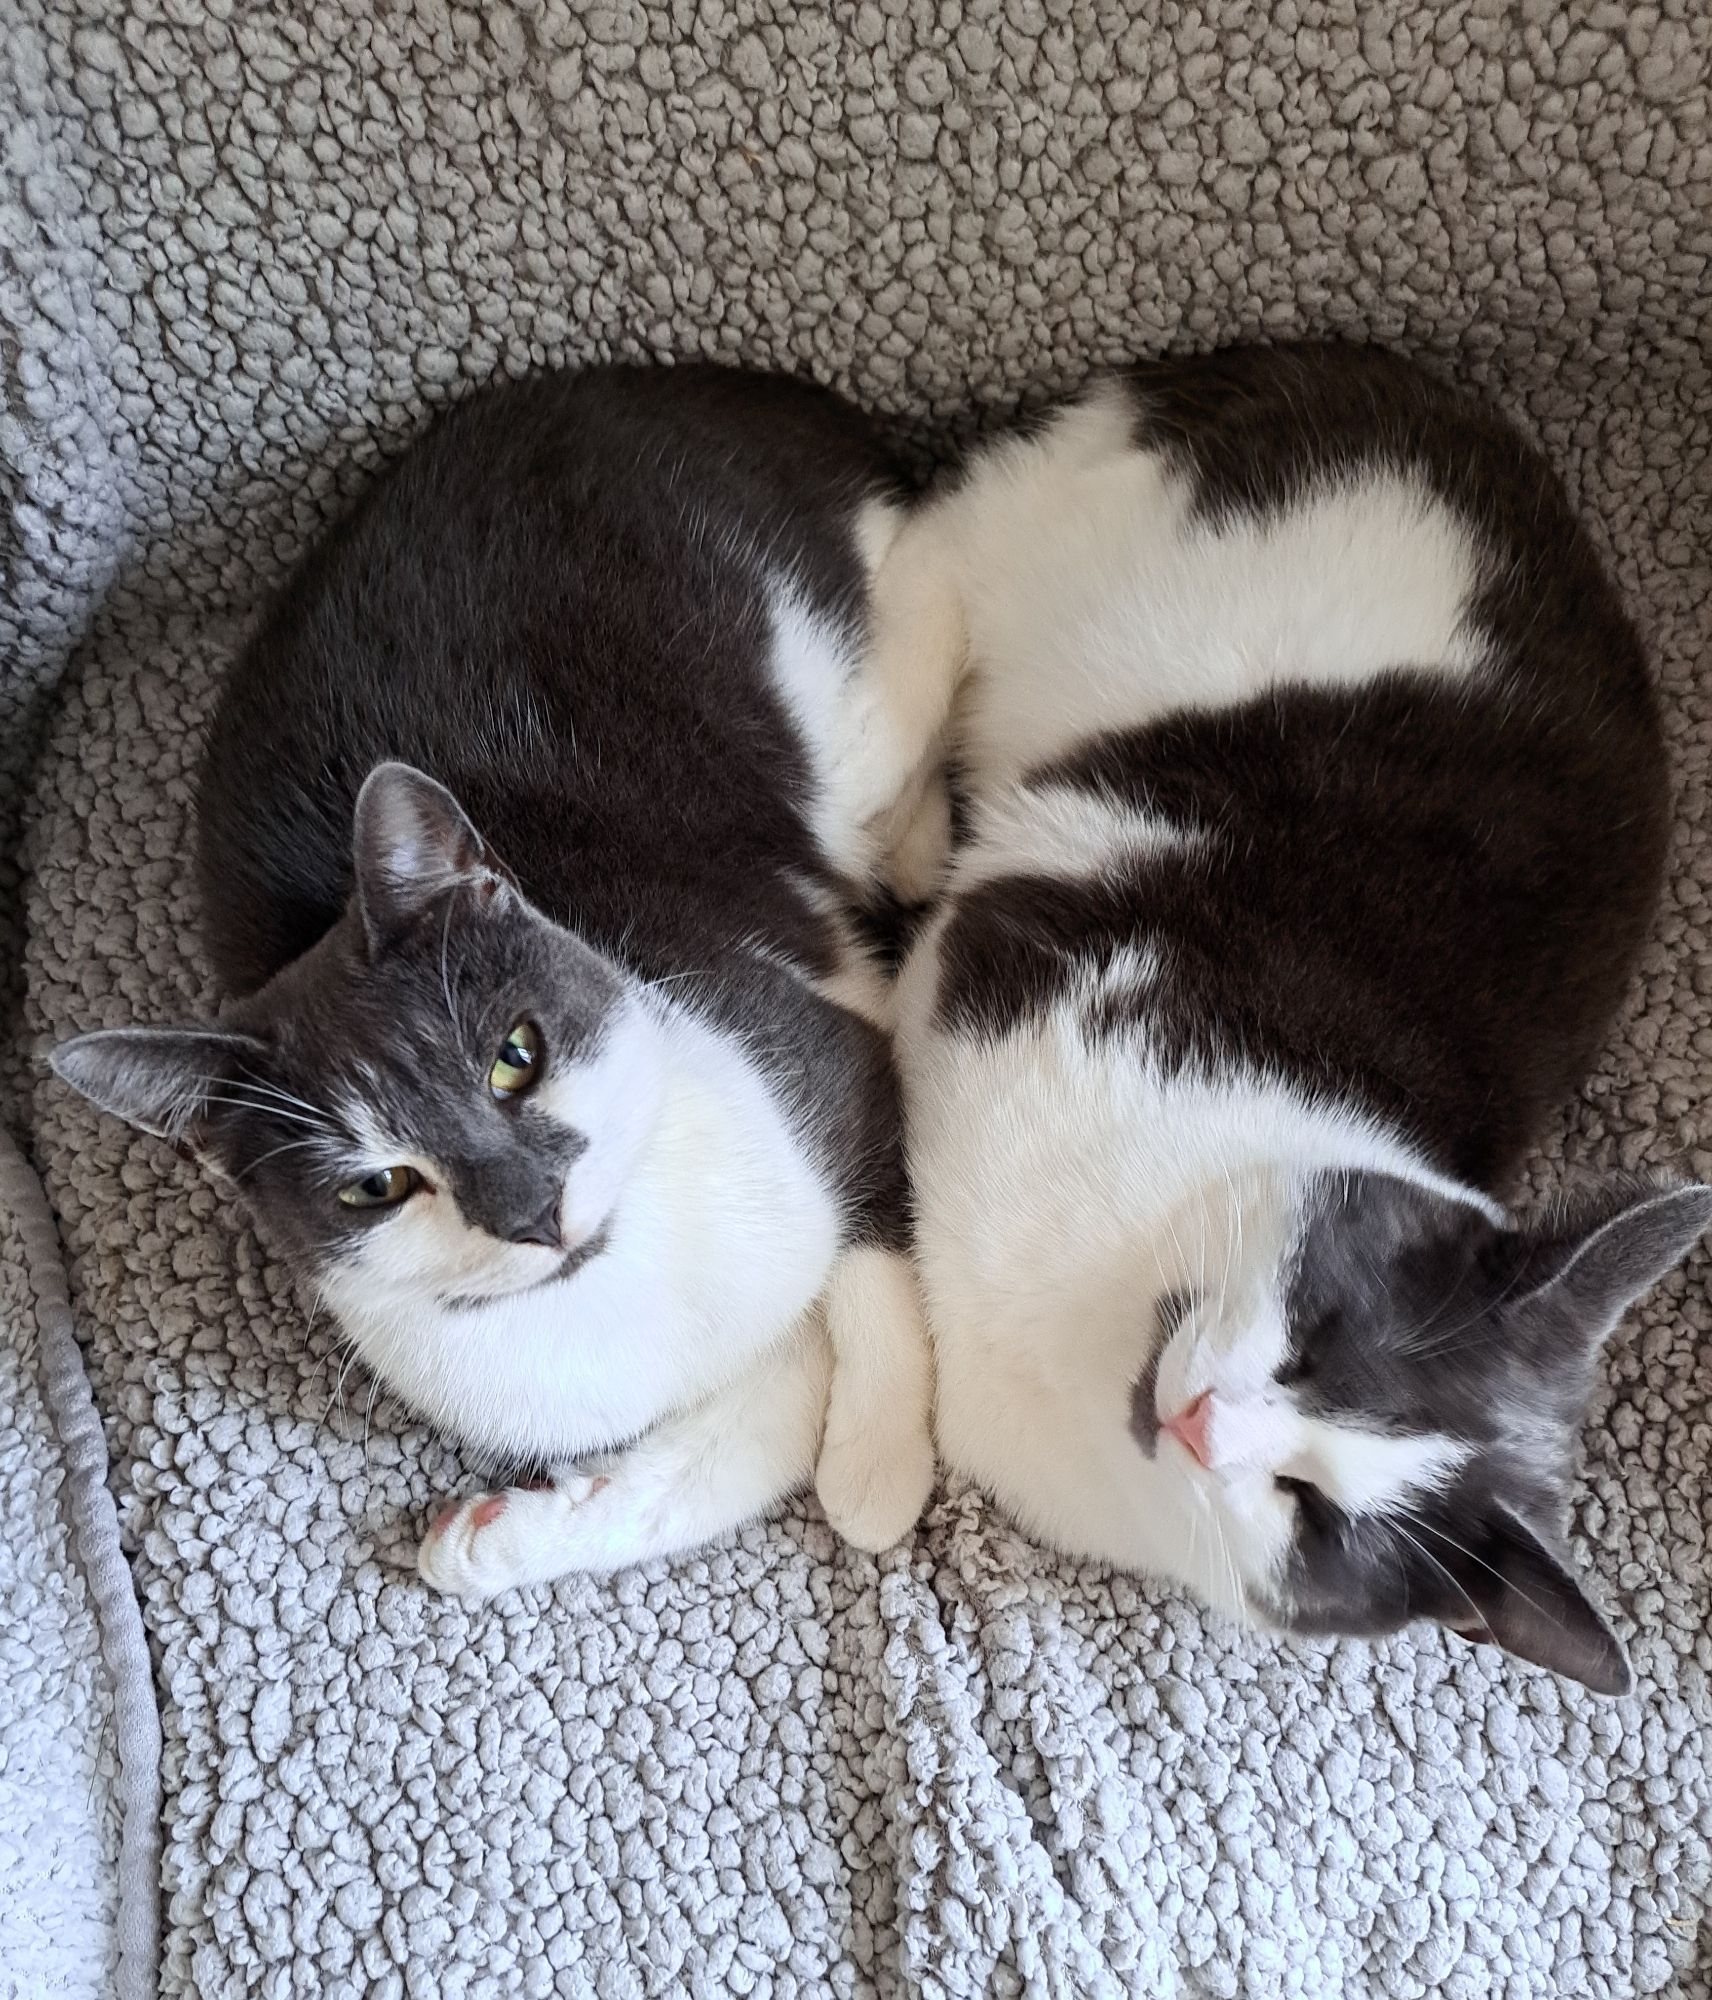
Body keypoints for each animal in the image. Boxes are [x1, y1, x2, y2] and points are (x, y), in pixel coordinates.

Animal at [53, 360, 944, 1592]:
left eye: (514, 1056)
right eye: (375, 1185)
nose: (532, 1211)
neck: (628, 1285)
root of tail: (684, 380)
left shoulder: (808, 1054)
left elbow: (869, 1243)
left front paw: (874, 1464)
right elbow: (733, 1445)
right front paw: (502, 1535)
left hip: (843, 673)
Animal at [868, 344, 1712, 1688]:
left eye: (1313, 1516)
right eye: (1315, 1333)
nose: (1204, 1419)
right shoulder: (1012, 945)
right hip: (1104, 561)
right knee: (932, 561)